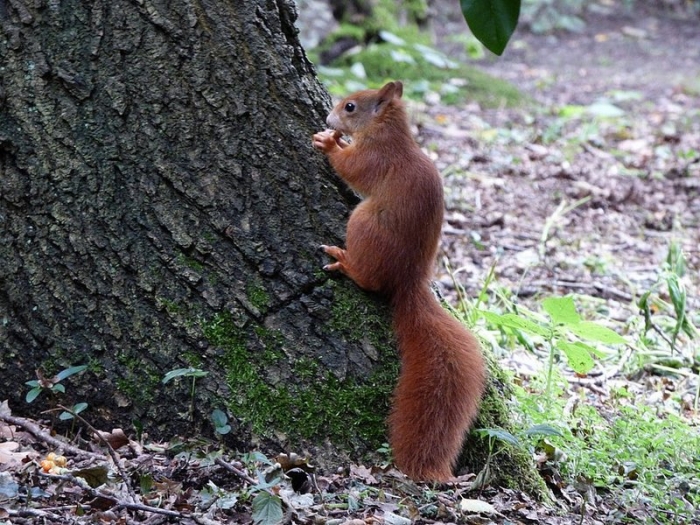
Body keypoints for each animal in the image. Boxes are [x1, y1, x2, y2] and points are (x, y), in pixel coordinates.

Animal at [312, 81, 486, 482]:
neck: (387, 135)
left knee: (369, 281)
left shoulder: (375, 160)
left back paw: (346, 263)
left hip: (363, 223)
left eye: (350, 107)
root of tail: (408, 281)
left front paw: (329, 143)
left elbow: (351, 168)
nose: (328, 118)